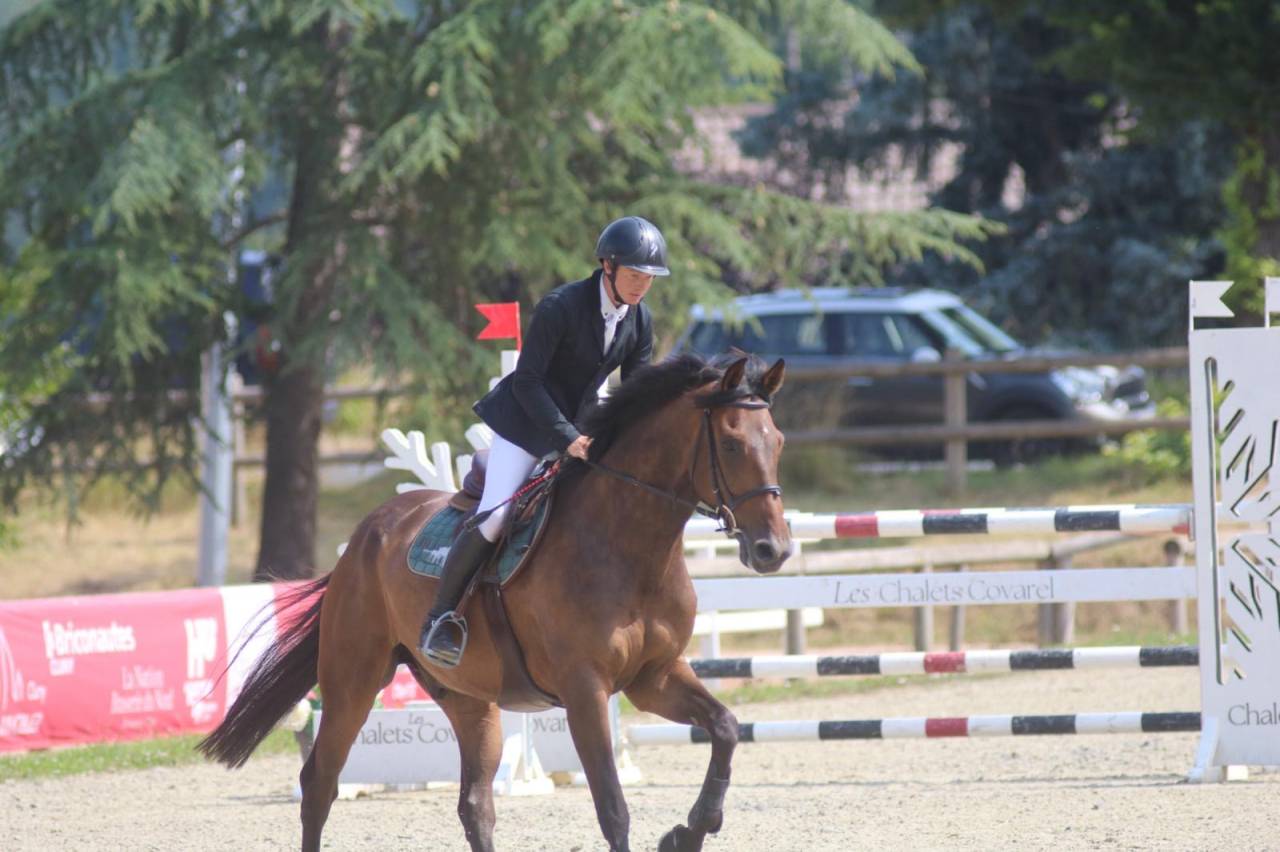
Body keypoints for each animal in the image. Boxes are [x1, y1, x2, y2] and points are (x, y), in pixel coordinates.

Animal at [199, 353, 792, 852]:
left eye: (779, 442)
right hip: (353, 680)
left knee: (475, 805)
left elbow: (725, 727)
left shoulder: (655, 677)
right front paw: (676, 830)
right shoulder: (586, 690)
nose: (774, 550)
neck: (628, 544)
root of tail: (367, 531)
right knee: (319, 783)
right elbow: (613, 807)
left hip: (468, 699)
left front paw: (689, 831)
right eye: (733, 445)